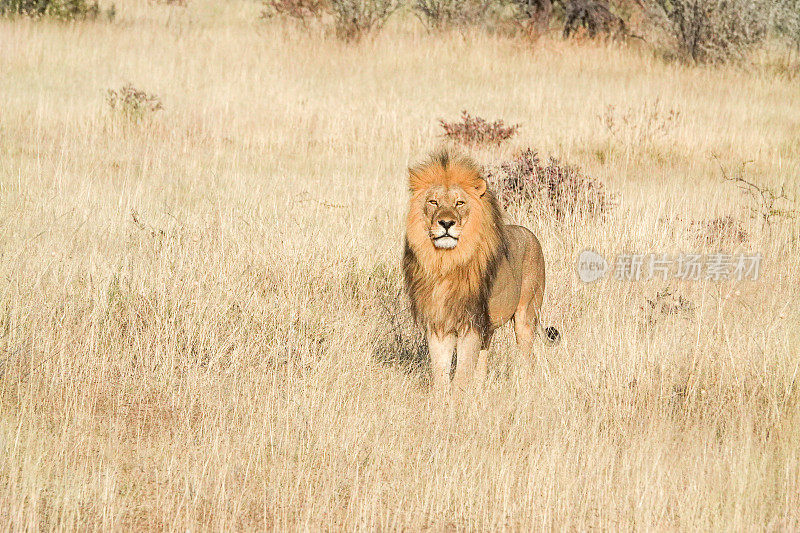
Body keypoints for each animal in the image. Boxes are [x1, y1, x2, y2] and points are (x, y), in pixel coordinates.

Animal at [404, 148, 560, 392]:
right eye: (433, 202)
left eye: (459, 203)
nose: (446, 223)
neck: (446, 263)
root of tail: (530, 234)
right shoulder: (439, 322)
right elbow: (440, 371)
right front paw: (440, 400)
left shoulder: (472, 323)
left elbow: (461, 374)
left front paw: (457, 400)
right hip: (490, 326)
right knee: (484, 361)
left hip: (526, 314)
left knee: (528, 358)